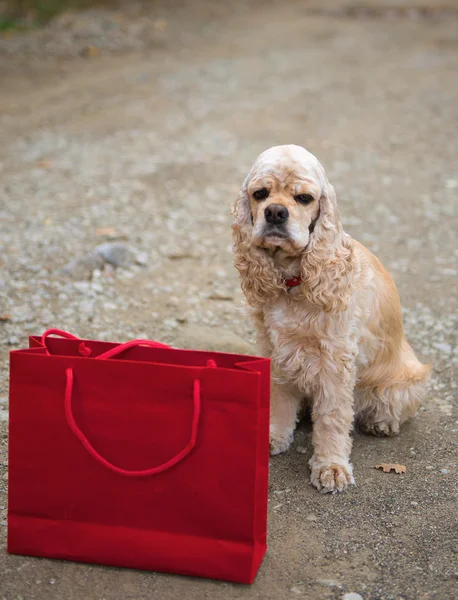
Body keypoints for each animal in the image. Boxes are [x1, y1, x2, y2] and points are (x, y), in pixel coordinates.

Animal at [233, 144, 430, 492]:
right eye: (260, 194)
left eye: (305, 198)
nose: (275, 213)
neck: (292, 280)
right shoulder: (276, 349)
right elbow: (280, 398)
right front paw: (273, 436)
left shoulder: (335, 359)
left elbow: (332, 417)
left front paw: (331, 467)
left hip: (405, 381)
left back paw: (381, 422)